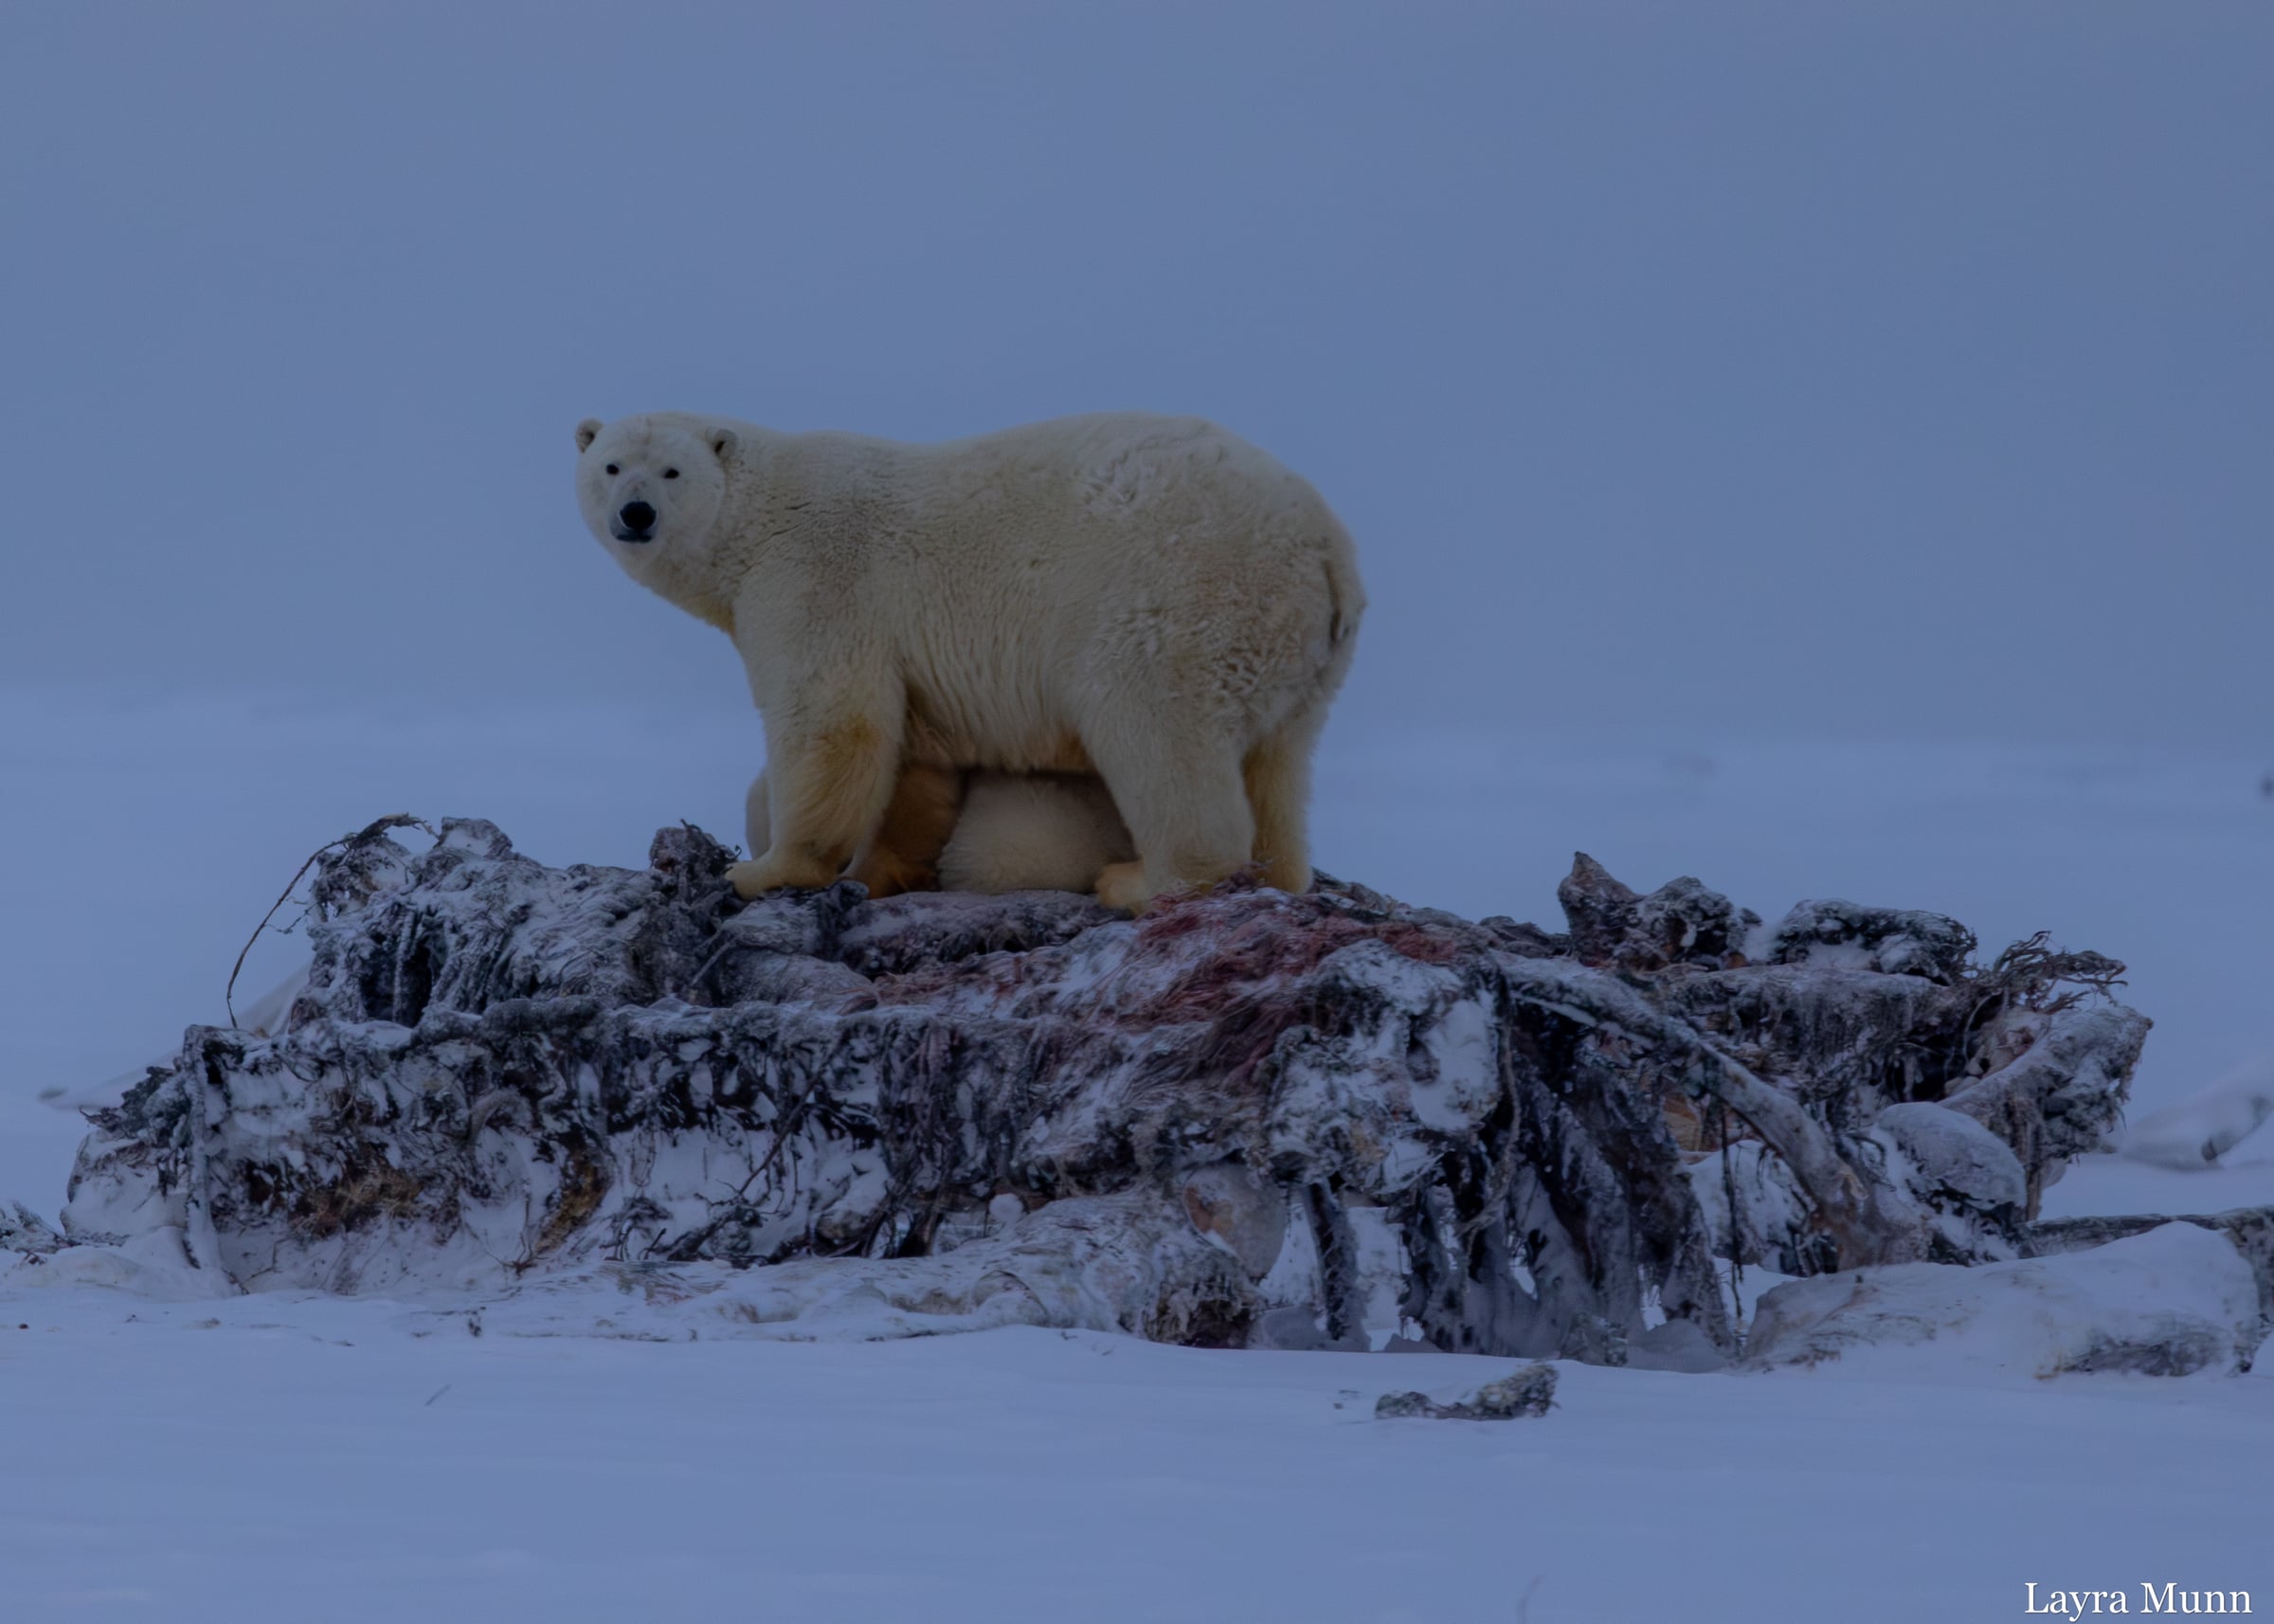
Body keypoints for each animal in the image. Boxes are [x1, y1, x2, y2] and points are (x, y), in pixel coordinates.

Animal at [574, 410, 1364, 911]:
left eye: (671, 471)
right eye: (609, 464)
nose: (635, 514)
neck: (761, 515)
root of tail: (1327, 544)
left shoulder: (817, 577)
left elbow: (833, 717)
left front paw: (763, 872)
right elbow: (913, 760)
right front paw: (882, 871)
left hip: (1173, 602)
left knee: (1158, 736)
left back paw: (1137, 883)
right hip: (1295, 653)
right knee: (1280, 762)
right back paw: (1282, 872)